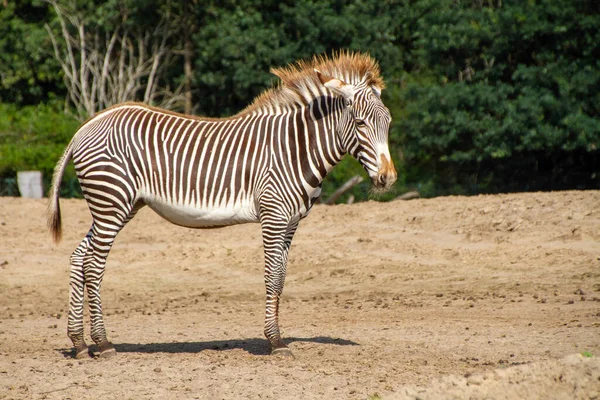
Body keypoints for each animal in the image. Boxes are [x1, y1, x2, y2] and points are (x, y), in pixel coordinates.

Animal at [49, 51, 396, 358]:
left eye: (389, 123)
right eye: (361, 124)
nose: (388, 178)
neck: (296, 148)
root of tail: (87, 126)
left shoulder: (291, 222)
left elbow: (282, 278)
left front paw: (277, 337)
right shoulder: (273, 216)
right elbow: (272, 276)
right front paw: (275, 342)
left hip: (117, 207)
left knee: (79, 257)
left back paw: (79, 343)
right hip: (111, 203)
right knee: (94, 265)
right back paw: (103, 343)